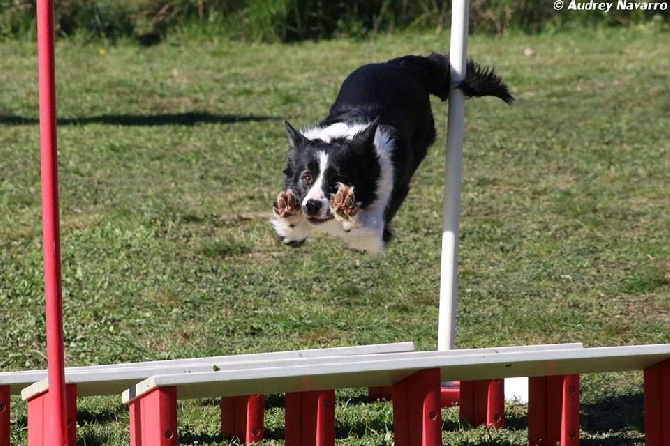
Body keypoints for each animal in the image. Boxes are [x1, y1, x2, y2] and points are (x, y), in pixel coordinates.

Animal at [272, 52, 516, 253]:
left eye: (339, 180)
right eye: (306, 177)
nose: (312, 205)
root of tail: (400, 64)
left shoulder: (377, 229)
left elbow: (366, 227)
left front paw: (346, 209)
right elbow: (291, 232)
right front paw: (289, 213)